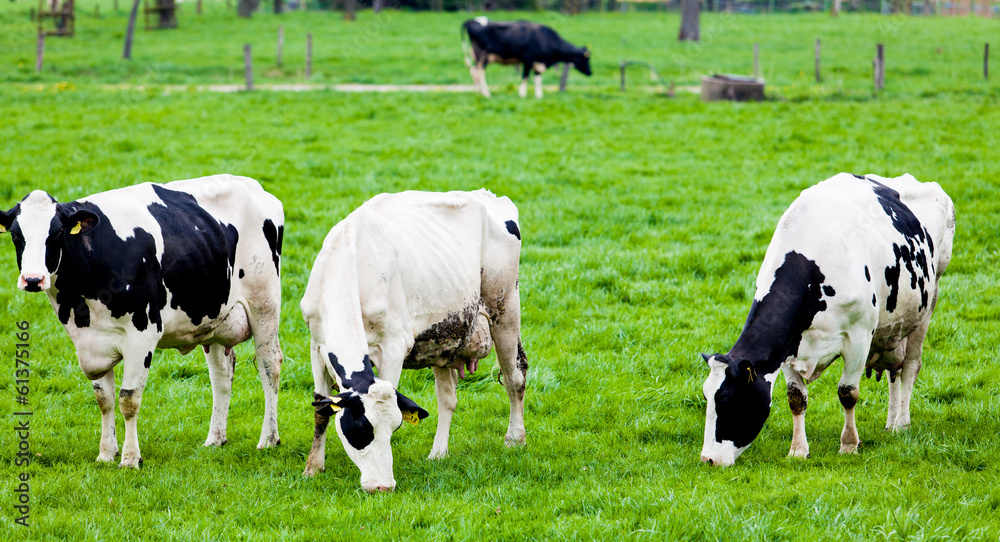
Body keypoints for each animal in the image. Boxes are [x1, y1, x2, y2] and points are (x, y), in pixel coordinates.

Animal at [0, 176, 284, 470]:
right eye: (16, 235)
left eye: (56, 234)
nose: (33, 279)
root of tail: (250, 184)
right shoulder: (93, 341)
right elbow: (104, 399)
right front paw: (106, 454)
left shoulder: (142, 335)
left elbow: (128, 399)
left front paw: (129, 458)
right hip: (214, 316)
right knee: (221, 375)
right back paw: (215, 439)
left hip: (264, 304)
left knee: (269, 365)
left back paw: (268, 439)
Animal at [300, 189, 528, 496]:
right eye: (361, 429)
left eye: (395, 426)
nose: (382, 487)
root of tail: (489, 195)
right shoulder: (317, 343)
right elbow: (321, 410)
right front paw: (313, 468)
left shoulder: (394, 346)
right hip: (443, 340)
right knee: (448, 399)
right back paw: (438, 453)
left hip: (505, 307)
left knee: (514, 377)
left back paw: (515, 438)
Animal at [462, 17, 592, 99]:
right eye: (586, 59)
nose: (590, 72)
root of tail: (470, 21)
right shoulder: (528, 60)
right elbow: (525, 77)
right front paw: (522, 95)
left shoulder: (538, 63)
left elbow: (538, 79)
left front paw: (539, 96)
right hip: (482, 56)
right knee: (479, 73)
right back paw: (486, 94)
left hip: (478, 56)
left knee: (473, 72)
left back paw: (480, 92)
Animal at [700, 173, 956, 468]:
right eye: (706, 395)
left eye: (726, 399)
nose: (708, 459)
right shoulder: (789, 346)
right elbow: (796, 398)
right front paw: (798, 450)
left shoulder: (858, 337)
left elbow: (848, 392)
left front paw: (849, 445)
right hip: (894, 327)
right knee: (895, 370)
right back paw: (891, 424)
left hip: (929, 301)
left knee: (911, 367)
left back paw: (902, 423)